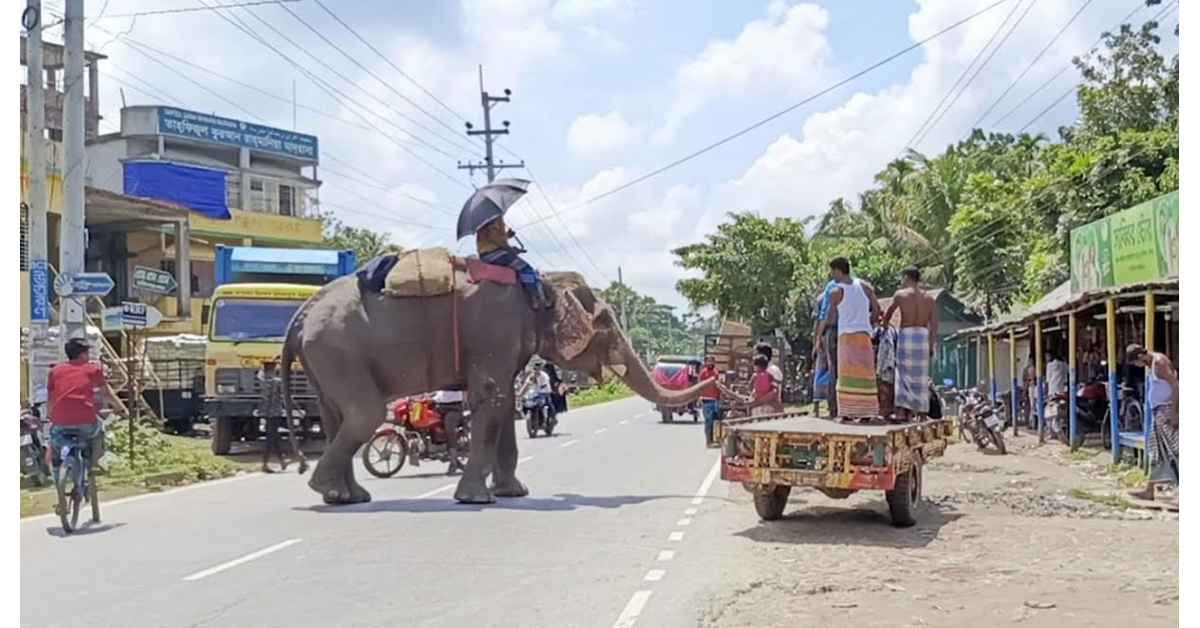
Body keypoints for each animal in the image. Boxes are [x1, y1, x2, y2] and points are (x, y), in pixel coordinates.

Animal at [278, 265, 710, 506]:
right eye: (604, 322)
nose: (710, 373)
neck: (537, 282)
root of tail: (301, 314)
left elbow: (502, 404)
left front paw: (513, 492)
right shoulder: (495, 330)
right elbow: (493, 397)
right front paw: (477, 498)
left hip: (325, 358)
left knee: (336, 416)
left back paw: (347, 496)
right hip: (337, 350)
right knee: (364, 415)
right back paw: (328, 489)